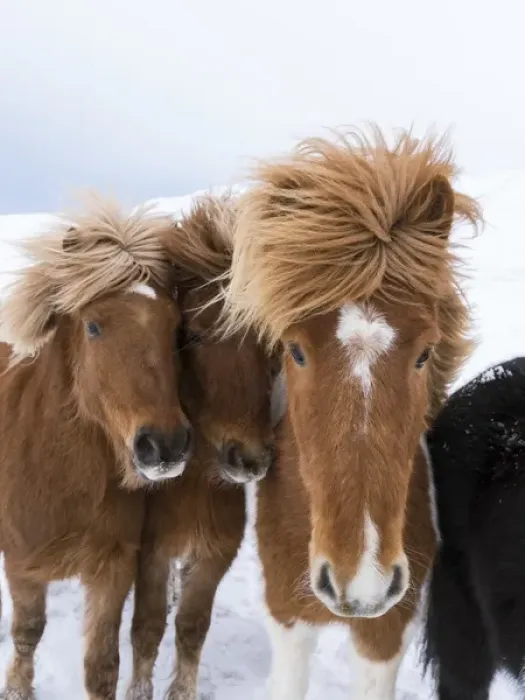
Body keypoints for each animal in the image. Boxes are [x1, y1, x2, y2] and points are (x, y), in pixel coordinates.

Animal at [0, 200, 192, 700]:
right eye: (93, 325)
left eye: (176, 327)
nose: (164, 444)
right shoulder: (22, 566)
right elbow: (27, 633)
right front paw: (17, 688)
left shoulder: (114, 566)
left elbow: (102, 666)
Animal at [126, 194, 277, 700]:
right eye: (190, 334)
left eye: (268, 344)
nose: (249, 459)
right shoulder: (151, 552)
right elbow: (147, 627)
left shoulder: (215, 554)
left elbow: (192, 626)